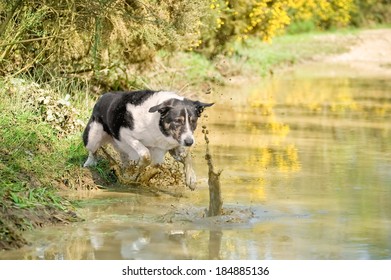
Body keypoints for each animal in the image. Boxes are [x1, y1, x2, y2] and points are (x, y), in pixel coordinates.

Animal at [82, 89, 214, 190]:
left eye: (193, 121)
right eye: (177, 121)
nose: (189, 142)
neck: (156, 122)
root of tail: (102, 97)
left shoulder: (172, 144)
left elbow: (186, 156)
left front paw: (191, 179)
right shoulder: (126, 135)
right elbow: (146, 155)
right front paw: (137, 174)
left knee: (124, 158)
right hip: (93, 136)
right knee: (92, 150)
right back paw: (90, 163)